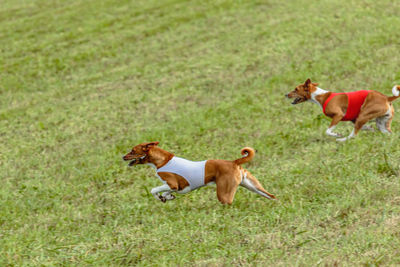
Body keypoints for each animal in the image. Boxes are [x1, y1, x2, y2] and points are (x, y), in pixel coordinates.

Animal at [122, 142, 276, 205]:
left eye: (132, 150)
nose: (123, 157)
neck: (163, 161)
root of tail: (234, 162)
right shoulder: (176, 187)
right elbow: (165, 193)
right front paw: (167, 197)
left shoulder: (172, 184)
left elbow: (154, 190)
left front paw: (161, 197)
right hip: (252, 186)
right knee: (271, 196)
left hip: (224, 193)